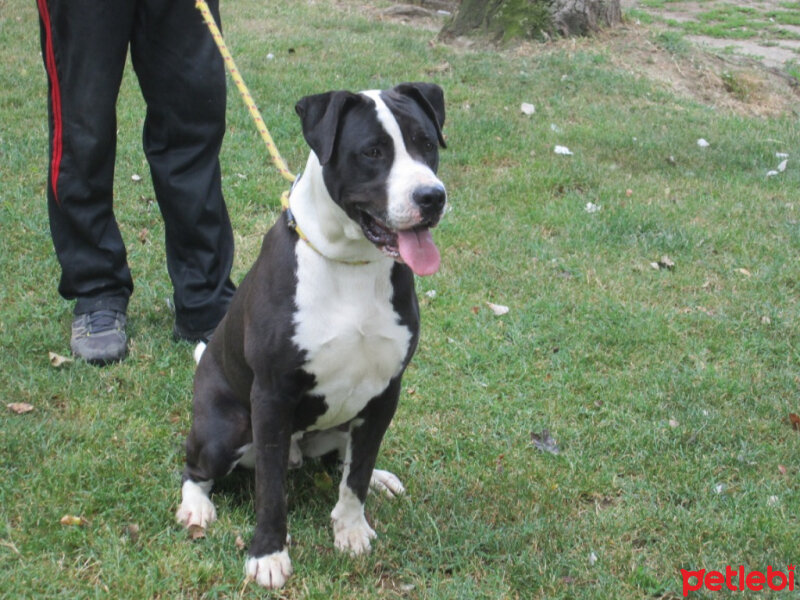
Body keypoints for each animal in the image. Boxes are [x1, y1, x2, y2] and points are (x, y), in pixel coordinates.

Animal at [176, 82, 446, 588]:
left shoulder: (386, 392)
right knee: (195, 468)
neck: (352, 263)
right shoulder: (271, 396)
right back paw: (196, 507)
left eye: (426, 143)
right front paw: (267, 554)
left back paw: (378, 477)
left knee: (343, 458)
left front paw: (351, 529)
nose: (432, 197)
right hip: (226, 428)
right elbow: (270, 490)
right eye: (373, 152)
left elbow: (355, 475)